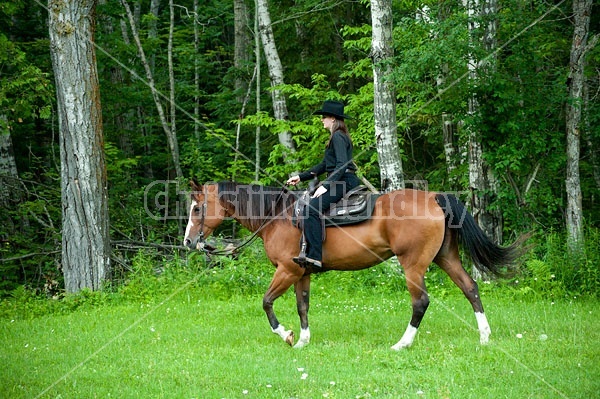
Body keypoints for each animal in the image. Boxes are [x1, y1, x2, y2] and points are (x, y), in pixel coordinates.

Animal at [184, 181, 524, 350]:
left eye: (197, 207)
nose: (188, 241)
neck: (278, 215)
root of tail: (434, 198)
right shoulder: (301, 272)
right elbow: (303, 306)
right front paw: (303, 341)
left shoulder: (286, 270)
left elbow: (267, 303)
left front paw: (287, 336)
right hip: (446, 257)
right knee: (470, 287)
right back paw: (484, 337)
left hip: (413, 265)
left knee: (421, 302)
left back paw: (402, 344)